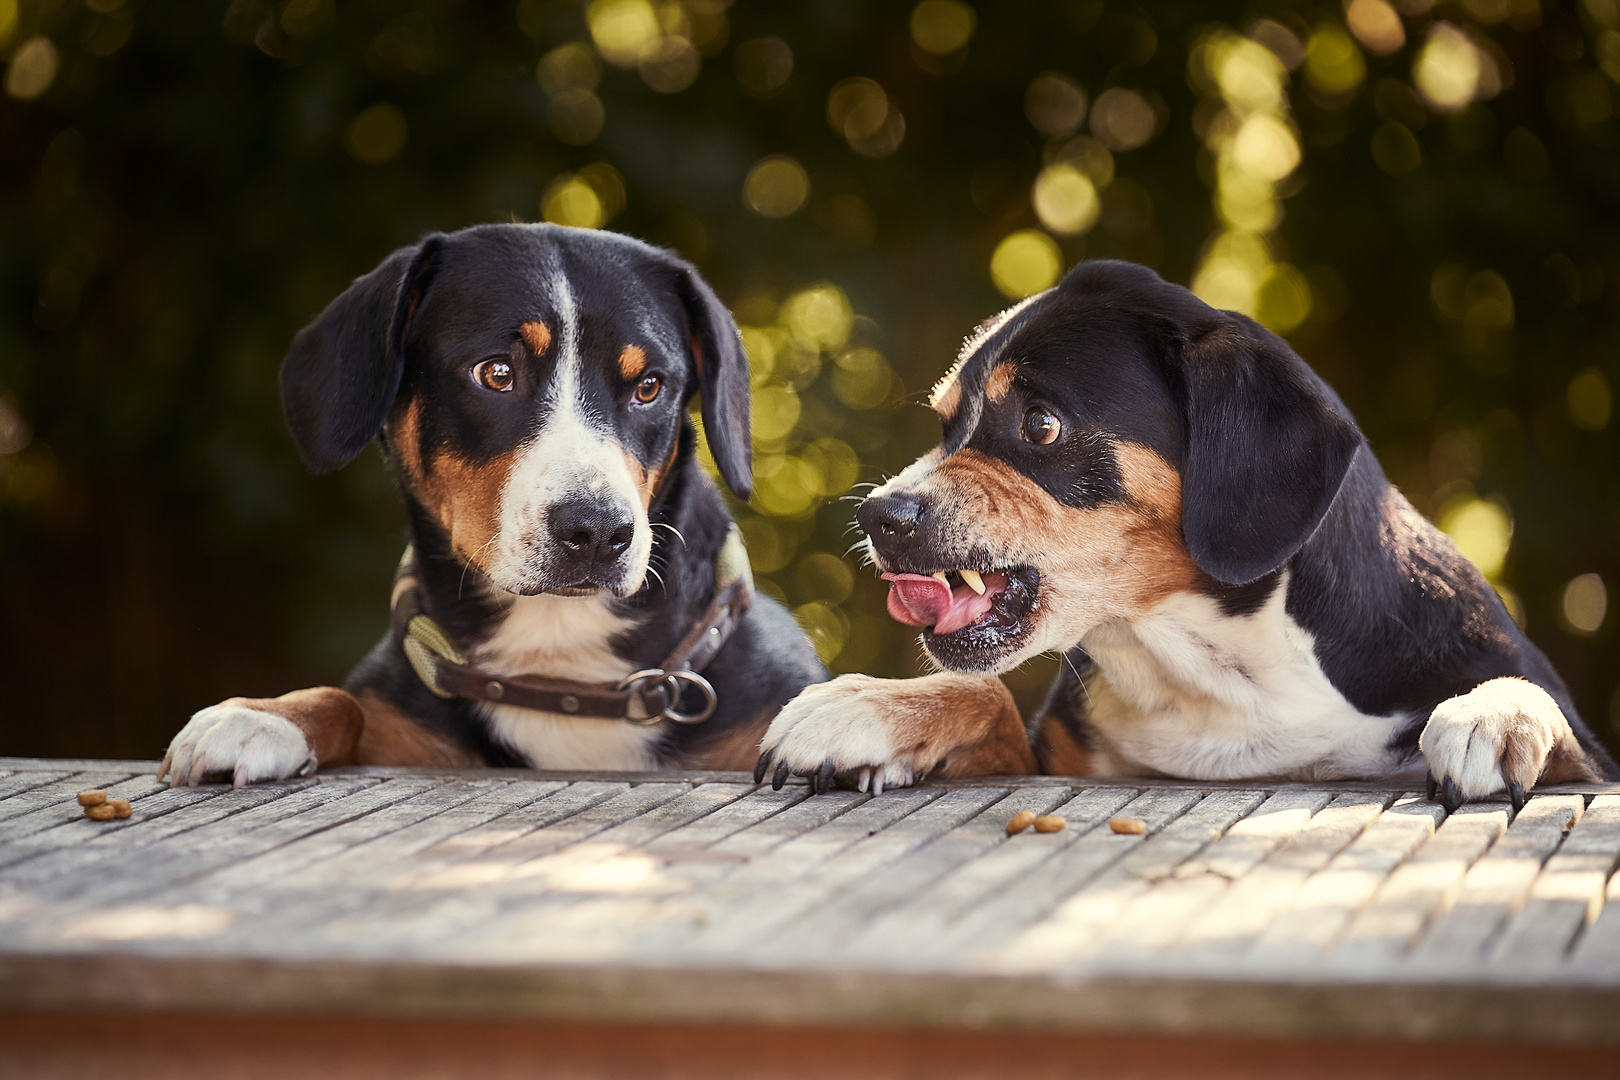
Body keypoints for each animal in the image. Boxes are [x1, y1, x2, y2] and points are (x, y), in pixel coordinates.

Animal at [161, 226, 822, 786]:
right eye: (496, 373)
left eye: (649, 386)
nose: (599, 531)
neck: (559, 665)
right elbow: (346, 699)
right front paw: (260, 716)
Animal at [751, 257, 1613, 806]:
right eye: (944, 425)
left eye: (1039, 423)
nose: (879, 517)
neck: (1216, 669)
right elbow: (982, 690)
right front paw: (864, 709)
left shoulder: (1594, 758)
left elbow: (1547, 717)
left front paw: (1493, 715)